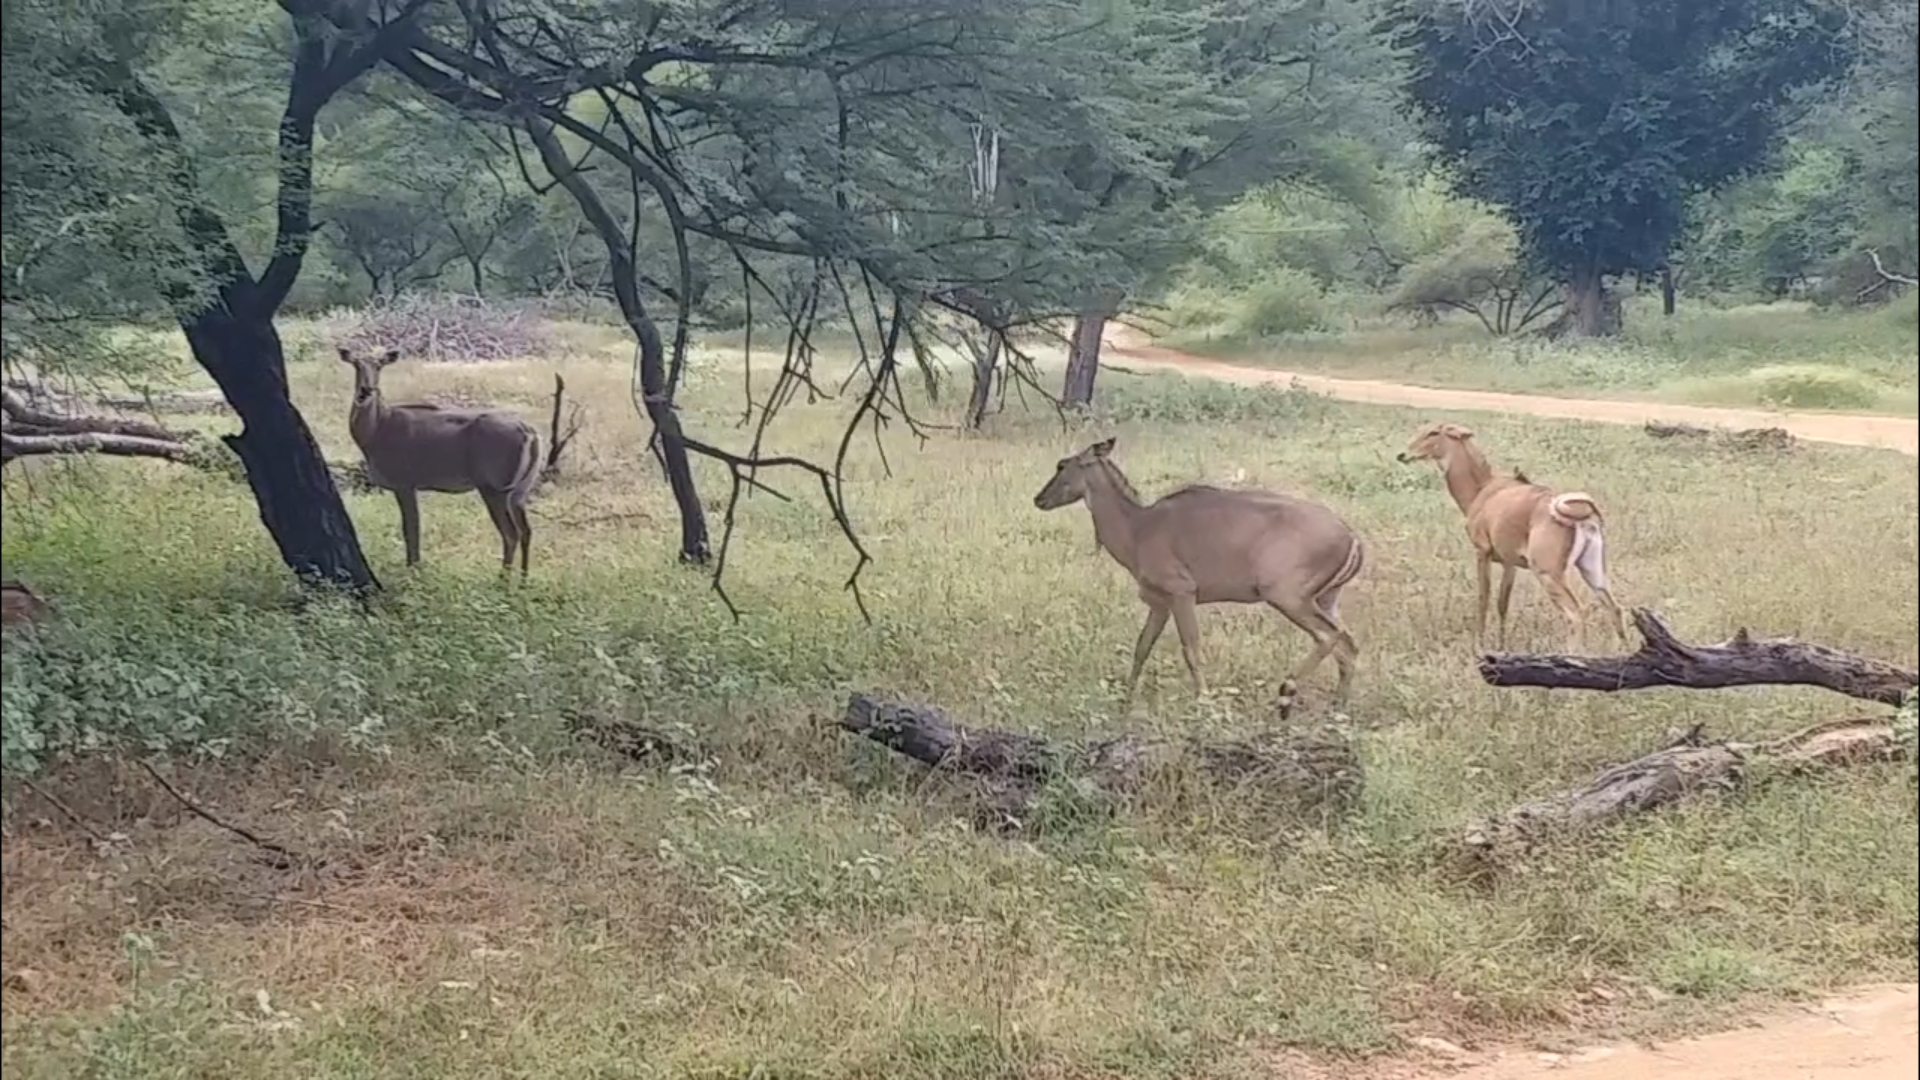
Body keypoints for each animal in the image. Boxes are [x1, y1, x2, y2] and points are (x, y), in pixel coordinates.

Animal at [337, 349, 545, 576]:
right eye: (356, 364)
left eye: (379, 365)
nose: (365, 390)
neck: (376, 432)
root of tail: (530, 433)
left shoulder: (404, 481)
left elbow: (411, 528)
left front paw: (413, 570)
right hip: (521, 490)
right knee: (526, 530)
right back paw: (524, 577)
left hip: (495, 485)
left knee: (511, 533)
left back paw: (503, 579)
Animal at [1036, 438, 1367, 714]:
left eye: (1062, 465)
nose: (1039, 499)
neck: (1136, 530)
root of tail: (1353, 540)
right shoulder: (1159, 602)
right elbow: (1141, 648)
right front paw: (1125, 701)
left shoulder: (1182, 591)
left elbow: (1191, 649)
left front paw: (1204, 701)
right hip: (1326, 597)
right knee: (1348, 645)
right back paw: (1338, 708)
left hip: (1287, 594)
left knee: (1330, 636)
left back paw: (1287, 694)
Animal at [1390, 417, 1628, 641]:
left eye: (1434, 432)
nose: (1402, 454)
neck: (1482, 489)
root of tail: (1579, 513)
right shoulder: (1509, 561)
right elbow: (1502, 603)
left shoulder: (1482, 551)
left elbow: (1483, 598)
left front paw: (1480, 641)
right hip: (1591, 568)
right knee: (1614, 607)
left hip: (1548, 572)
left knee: (1575, 613)